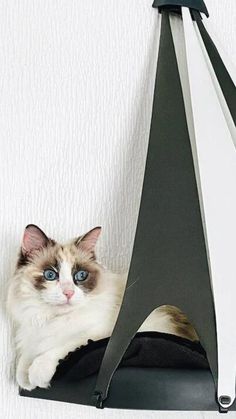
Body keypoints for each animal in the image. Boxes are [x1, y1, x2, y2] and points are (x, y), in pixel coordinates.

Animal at [6, 225, 198, 392]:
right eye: (50, 275)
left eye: (80, 276)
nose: (68, 293)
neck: (54, 320)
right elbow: (24, 360)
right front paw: (25, 378)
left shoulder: (102, 335)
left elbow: (62, 347)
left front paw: (37, 374)